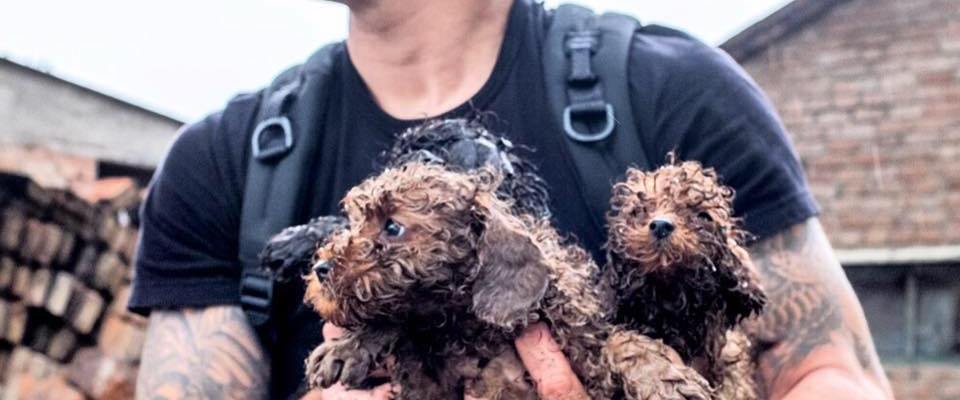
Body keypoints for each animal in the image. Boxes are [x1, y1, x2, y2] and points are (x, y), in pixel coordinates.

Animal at [303, 162, 713, 399]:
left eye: (392, 227)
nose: (321, 268)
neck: (466, 330)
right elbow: (399, 316)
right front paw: (350, 346)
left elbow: (621, 342)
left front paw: (665, 380)